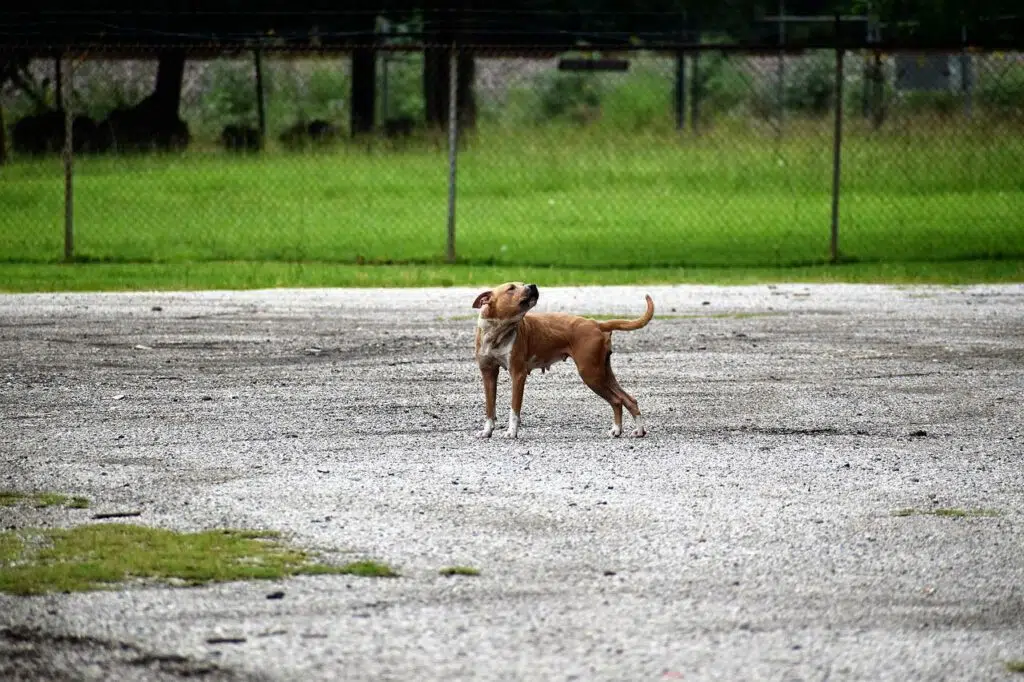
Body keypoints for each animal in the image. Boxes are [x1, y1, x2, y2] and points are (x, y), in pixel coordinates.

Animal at [473, 280, 655, 436]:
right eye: (511, 288)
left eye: (522, 284)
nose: (533, 285)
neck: (498, 332)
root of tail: (595, 324)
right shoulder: (488, 374)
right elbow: (490, 407)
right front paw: (487, 431)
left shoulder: (518, 375)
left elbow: (514, 409)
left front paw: (511, 432)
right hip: (603, 372)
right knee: (628, 399)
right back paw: (633, 430)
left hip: (591, 374)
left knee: (617, 400)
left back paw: (621, 429)